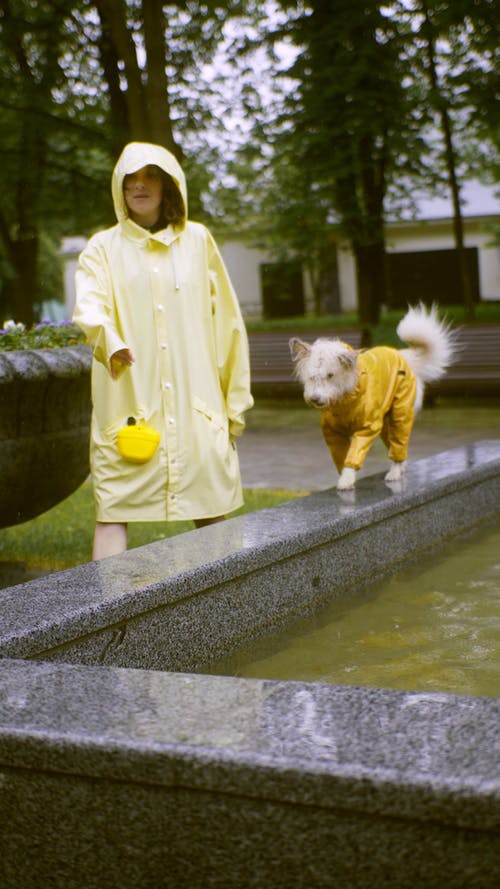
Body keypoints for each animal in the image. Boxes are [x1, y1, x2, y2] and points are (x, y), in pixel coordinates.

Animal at [292, 302, 456, 490]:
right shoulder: (334, 435)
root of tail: (403, 355)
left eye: (330, 375)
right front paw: (345, 478)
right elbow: (342, 456)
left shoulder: (367, 428)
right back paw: (400, 468)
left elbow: (353, 454)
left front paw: (346, 479)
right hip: (386, 423)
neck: (345, 400)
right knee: (395, 447)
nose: (315, 398)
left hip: (400, 415)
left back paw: (394, 472)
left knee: (399, 444)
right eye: (312, 377)